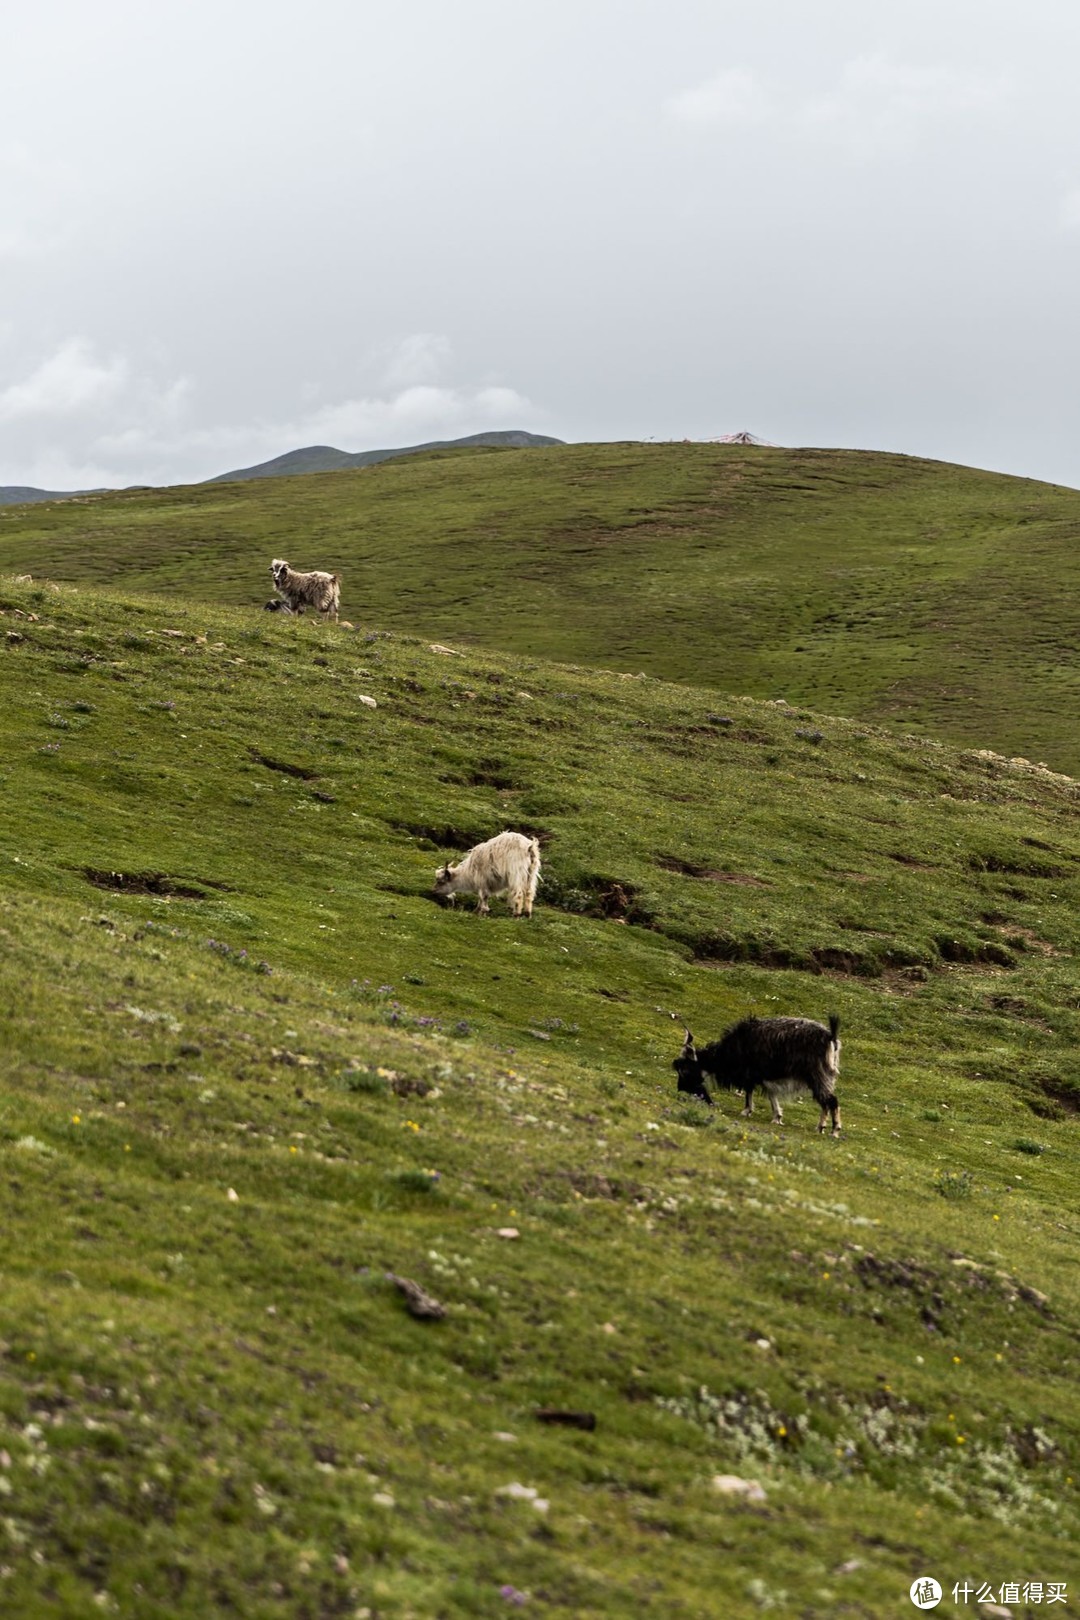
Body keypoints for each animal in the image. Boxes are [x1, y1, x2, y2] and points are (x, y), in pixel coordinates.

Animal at [676, 1017, 841, 1134]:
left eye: (685, 1070)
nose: (680, 1088)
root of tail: (830, 1037)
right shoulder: (763, 1076)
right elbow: (771, 1094)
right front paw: (777, 1117)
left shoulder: (750, 1074)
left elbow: (750, 1091)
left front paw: (746, 1111)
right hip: (824, 1076)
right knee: (826, 1102)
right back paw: (821, 1127)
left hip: (817, 1075)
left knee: (831, 1100)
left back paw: (834, 1130)